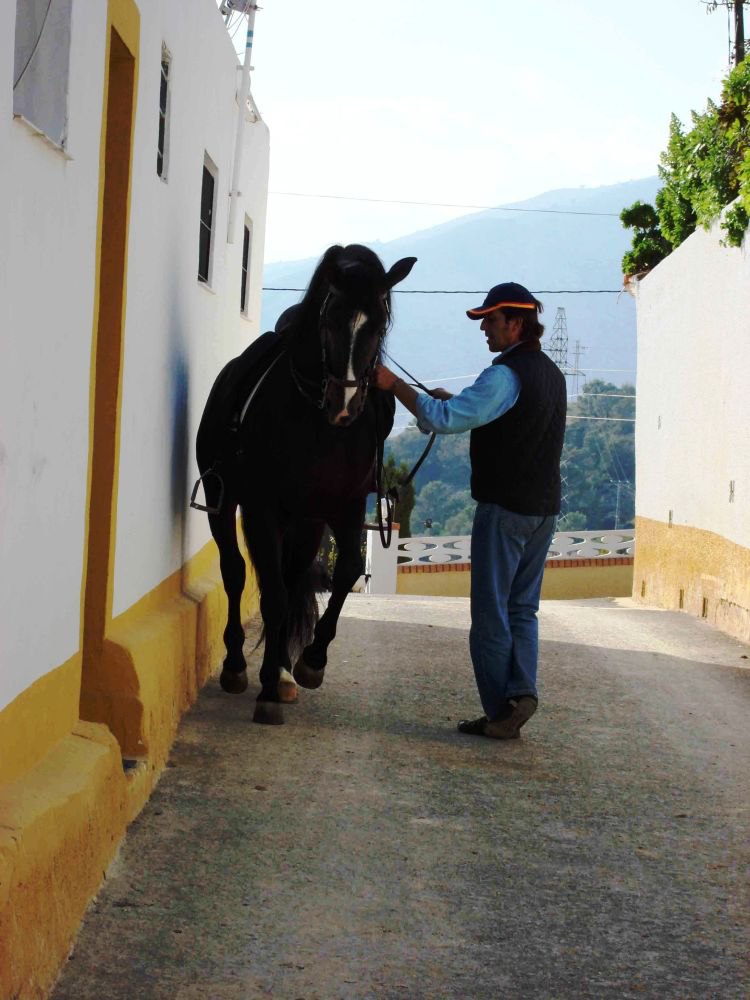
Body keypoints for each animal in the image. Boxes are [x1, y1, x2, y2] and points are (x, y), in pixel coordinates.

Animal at [195, 242, 418, 728]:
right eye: (330, 317)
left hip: (306, 521)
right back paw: (238, 666)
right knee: (237, 572)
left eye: (379, 323)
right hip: (227, 502)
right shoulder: (262, 508)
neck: (318, 427)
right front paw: (265, 690)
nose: (344, 405)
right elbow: (273, 593)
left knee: (293, 577)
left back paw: (280, 670)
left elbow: (344, 572)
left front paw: (309, 662)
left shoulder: (343, 507)